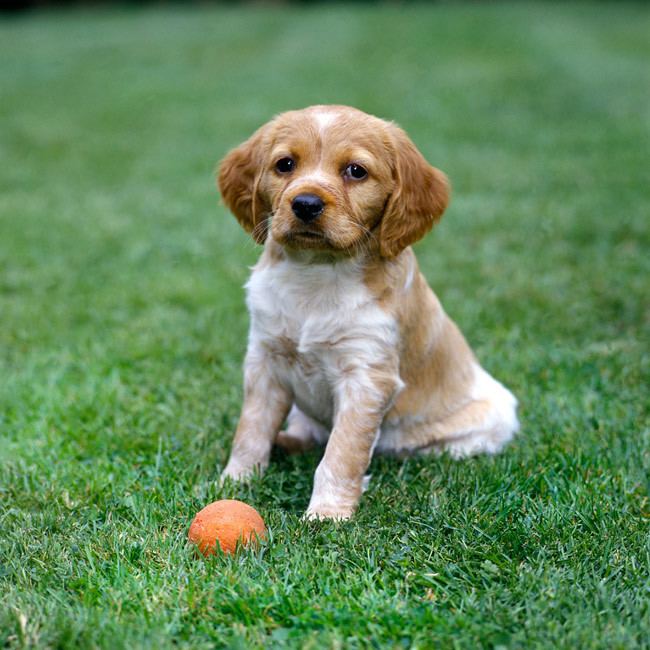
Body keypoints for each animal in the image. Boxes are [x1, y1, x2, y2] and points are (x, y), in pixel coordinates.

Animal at [216, 106, 516, 520]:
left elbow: (342, 452)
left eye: (356, 171)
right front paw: (236, 481)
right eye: (285, 164)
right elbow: (251, 429)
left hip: (492, 418)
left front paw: (327, 514)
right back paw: (286, 443)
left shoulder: (367, 376)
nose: (305, 203)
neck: (317, 272)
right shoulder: (265, 359)